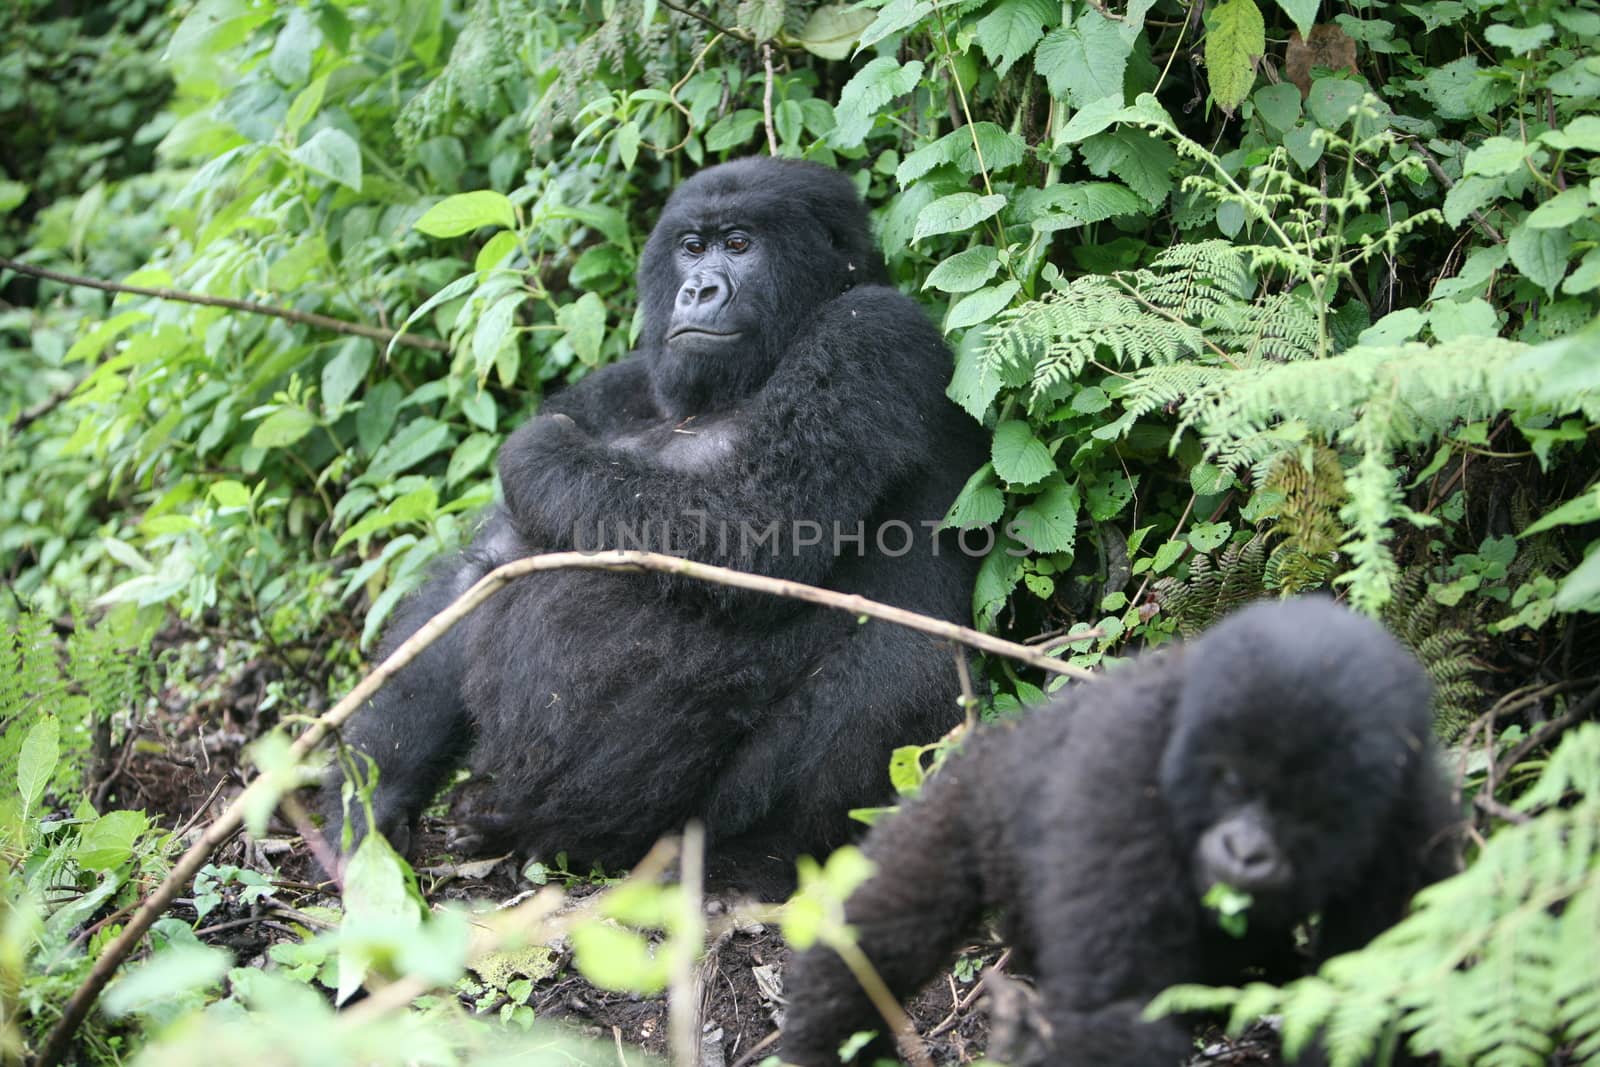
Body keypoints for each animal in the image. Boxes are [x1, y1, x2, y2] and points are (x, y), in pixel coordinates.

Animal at [324, 156, 985, 895]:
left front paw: (536, 453)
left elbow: (760, 526)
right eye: (691, 248)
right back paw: (491, 821)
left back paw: (751, 865)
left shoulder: (874, 332)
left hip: (673, 823)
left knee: (903, 660)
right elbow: (486, 568)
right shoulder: (616, 383)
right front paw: (369, 799)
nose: (698, 289)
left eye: (739, 245)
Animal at [777, 598, 1465, 1062]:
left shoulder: (1416, 821)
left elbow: (1377, 994)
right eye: (1233, 782)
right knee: (890, 928)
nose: (1245, 850)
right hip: (969, 801)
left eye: (1311, 809)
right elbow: (1116, 1013)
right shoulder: (1121, 773)